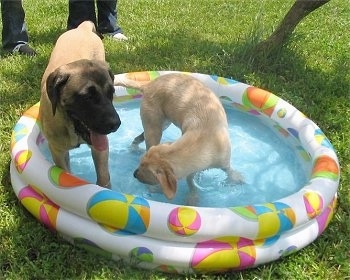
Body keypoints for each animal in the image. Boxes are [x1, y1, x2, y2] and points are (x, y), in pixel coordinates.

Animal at [115, 72, 243, 199]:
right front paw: (192, 198)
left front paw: (237, 180)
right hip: (154, 128)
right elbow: (192, 184)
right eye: (140, 165)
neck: (202, 139)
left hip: (161, 125)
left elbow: (230, 172)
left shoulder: (224, 162)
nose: (134, 174)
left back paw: (134, 149)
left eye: (147, 172)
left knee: (139, 138)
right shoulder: (191, 172)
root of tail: (148, 84)